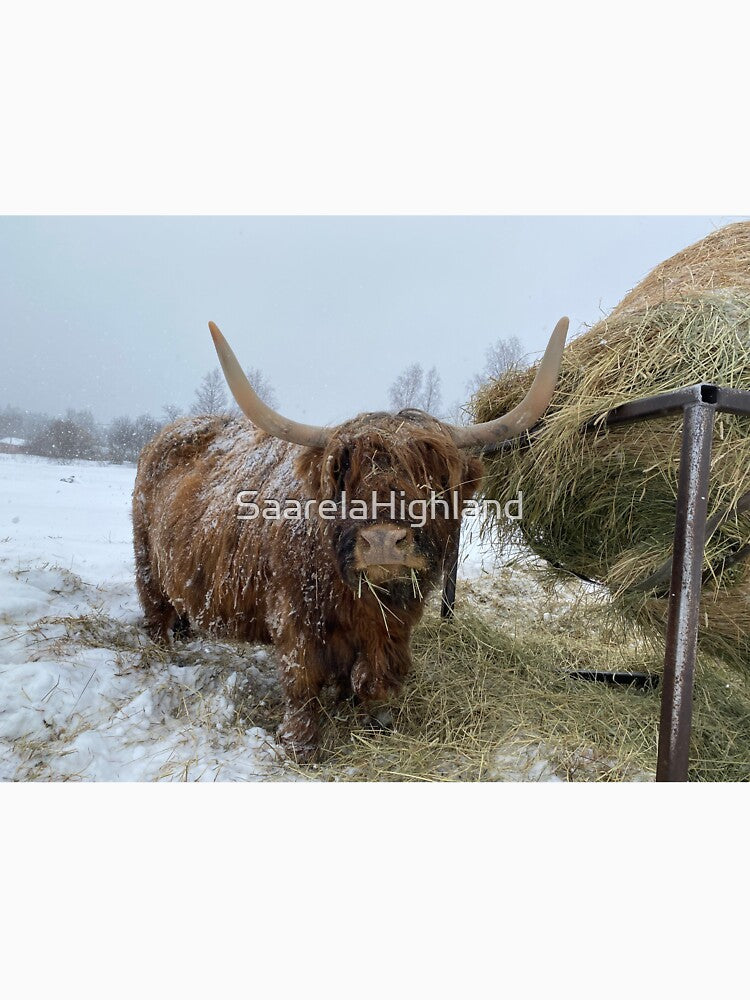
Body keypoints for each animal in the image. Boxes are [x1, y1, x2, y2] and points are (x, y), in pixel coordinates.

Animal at [133, 317, 568, 760]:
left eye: (429, 479)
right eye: (344, 477)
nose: (383, 542)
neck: (358, 597)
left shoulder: (392, 624)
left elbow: (373, 675)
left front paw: (370, 717)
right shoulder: (294, 615)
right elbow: (302, 682)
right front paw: (300, 744)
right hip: (147, 560)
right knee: (155, 610)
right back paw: (162, 654)